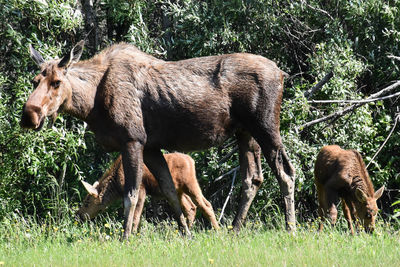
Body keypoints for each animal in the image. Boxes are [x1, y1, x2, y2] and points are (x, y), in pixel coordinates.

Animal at [77, 153, 219, 232]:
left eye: (87, 202)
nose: (78, 215)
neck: (117, 183)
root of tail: (191, 160)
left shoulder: (141, 189)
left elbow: (135, 216)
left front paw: (133, 234)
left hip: (190, 184)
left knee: (206, 205)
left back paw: (218, 231)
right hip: (180, 191)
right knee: (191, 208)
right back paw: (185, 231)